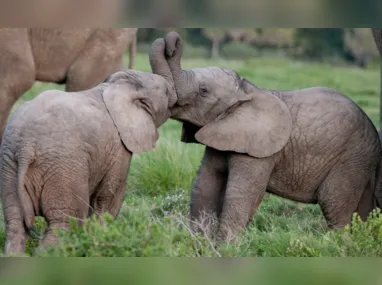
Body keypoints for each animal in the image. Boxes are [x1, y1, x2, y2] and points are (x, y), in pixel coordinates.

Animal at [0, 69, 176, 255]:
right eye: (166, 91)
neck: (115, 86)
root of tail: (25, 146)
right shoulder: (118, 148)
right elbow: (109, 196)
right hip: (63, 167)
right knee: (64, 224)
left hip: (9, 167)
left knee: (16, 226)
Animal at [149, 31, 382, 242]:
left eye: (204, 90)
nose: (171, 43)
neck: (247, 90)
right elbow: (205, 183)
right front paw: (199, 243)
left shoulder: (261, 150)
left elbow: (241, 192)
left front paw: (225, 248)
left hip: (353, 156)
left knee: (333, 202)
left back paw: (338, 244)